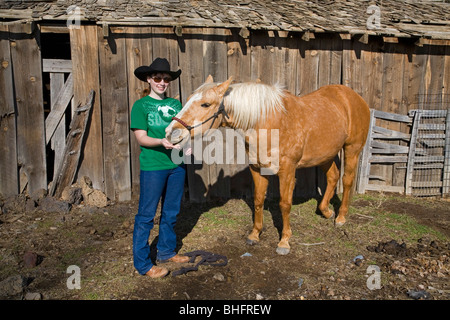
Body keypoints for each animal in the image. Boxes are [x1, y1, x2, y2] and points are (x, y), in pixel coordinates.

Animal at [165, 75, 370, 255]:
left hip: (352, 149)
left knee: (347, 180)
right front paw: (255, 235)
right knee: (333, 176)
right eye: (188, 100)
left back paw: (341, 217)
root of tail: (353, 97)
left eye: (205, 104)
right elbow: (258, 200)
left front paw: (284, 242)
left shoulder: (287, 172)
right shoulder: (257, 169)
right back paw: (326, 211)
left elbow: (284, 204)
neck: (268, 123)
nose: (171, 133)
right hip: (325, 154)